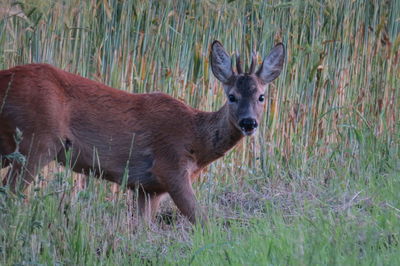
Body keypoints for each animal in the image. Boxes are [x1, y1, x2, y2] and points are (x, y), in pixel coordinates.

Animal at [0, 41, 284, 224]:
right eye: (232, 96)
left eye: (261, 96)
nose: (249, 123)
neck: (195, 138)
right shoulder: (170, 167)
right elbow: (202, 221)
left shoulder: (147, 189)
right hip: (36, 141)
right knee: (10, 194)